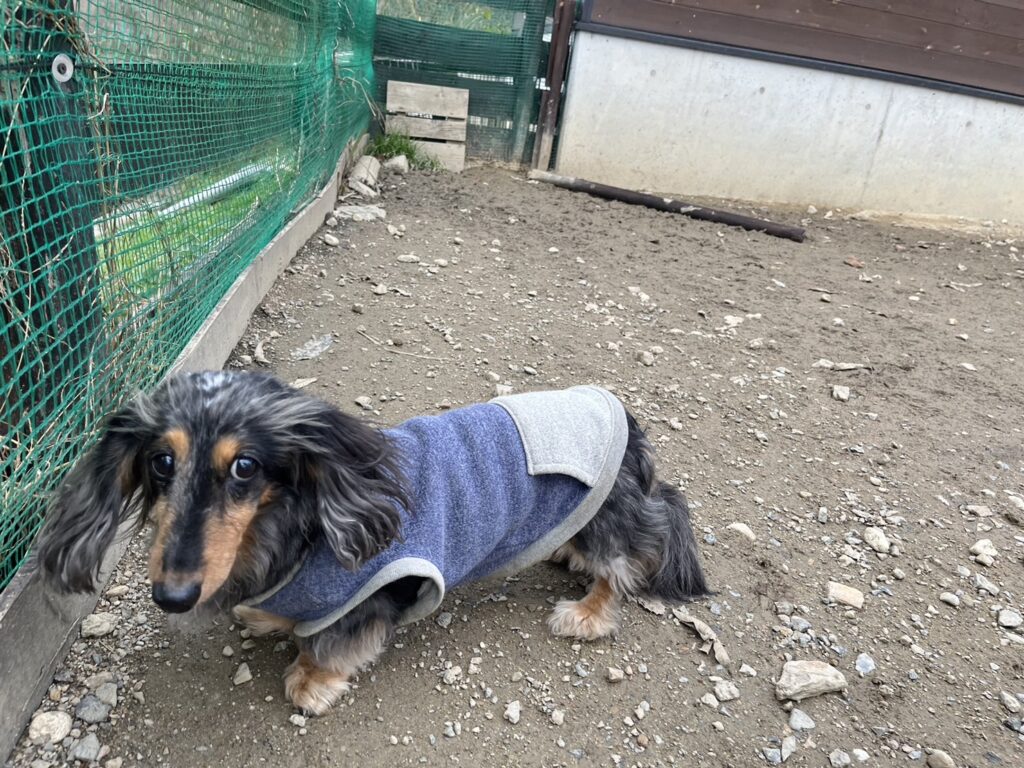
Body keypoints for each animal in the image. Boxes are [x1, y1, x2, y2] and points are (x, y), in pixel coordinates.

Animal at [38, 370, 708, 714]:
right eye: (160, 462)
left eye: (245, 467)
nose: (172, 596)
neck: (292, 533)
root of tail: (623, 414)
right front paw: (267, 619)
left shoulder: (362, 598)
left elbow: (328, 643)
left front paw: (310, 682)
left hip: (612, 517)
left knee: (625, 560)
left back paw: (588, 613)